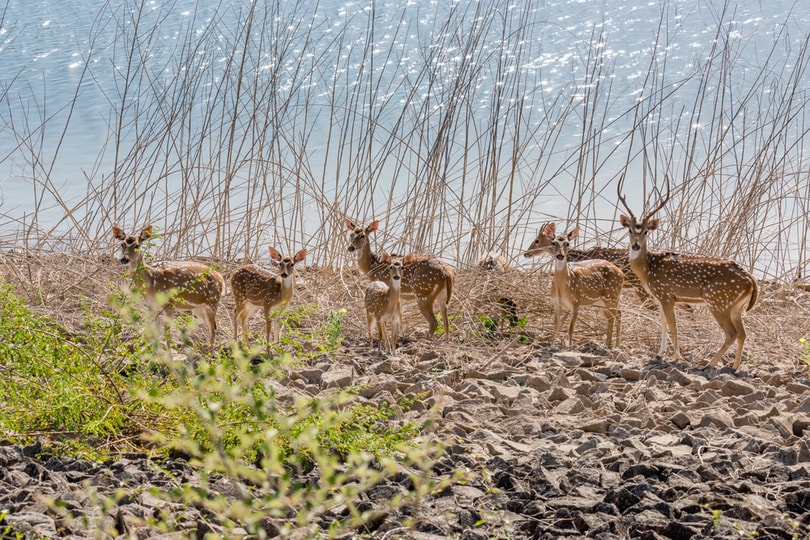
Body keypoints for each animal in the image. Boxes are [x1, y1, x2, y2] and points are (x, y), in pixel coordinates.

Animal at [620, 184, 756, 370]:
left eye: (646, 231)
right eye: (629, 230)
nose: (635, 245)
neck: (647, 269)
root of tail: (751, 280)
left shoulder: (666, 294)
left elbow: (673, 325)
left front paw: (676, 357)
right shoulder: (660, 297)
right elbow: (663, 323)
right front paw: (659, 354)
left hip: (717, 301)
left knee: (732, 333)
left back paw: (708, 364)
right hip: (736, 307)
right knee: (743, 333)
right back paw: (734, 367)